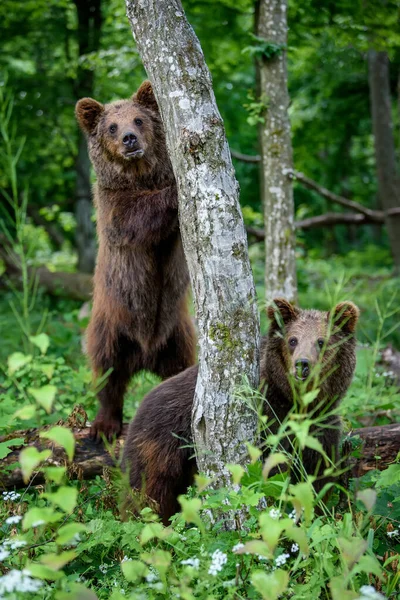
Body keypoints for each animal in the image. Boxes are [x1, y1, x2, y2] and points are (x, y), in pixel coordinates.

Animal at [76, 81, 196, 440]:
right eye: (112, 127)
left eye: (139, 119)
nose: (130, 138)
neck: (139, 174)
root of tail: (146, 353)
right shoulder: (110, 204)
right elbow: (134, 218)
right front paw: (174, 193)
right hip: (111, 324)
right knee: (107, 372)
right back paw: (104, 424)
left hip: (177, 334)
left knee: (181, 368)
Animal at [122, 298, 360, 524]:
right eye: (293, 340)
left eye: (321, 341)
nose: (302, 365)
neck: (298, 403)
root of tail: (139, 407)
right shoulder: (271, 419)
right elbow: (274, 472)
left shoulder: (321, 429)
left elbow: (317, 478)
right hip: (161, 446)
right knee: (149, 492)